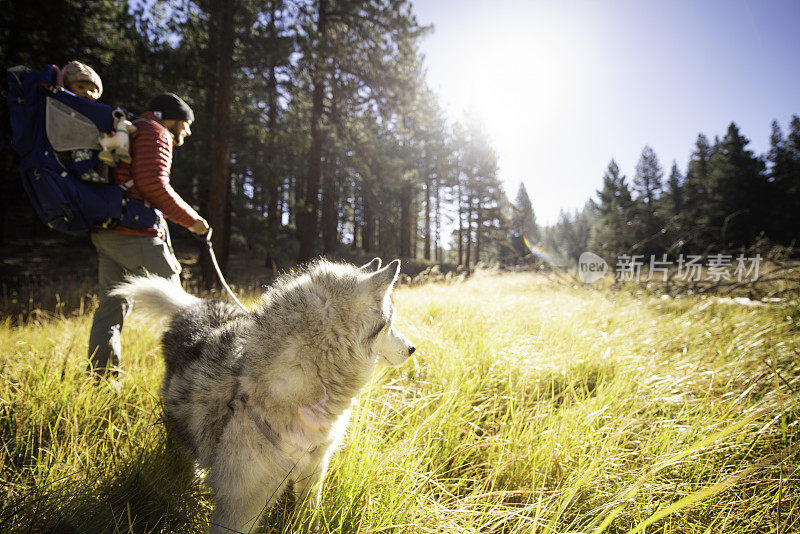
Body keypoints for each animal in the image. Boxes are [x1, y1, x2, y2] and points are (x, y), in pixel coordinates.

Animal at [112, 258, 416, 532]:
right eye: (390, 322)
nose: (413, 348)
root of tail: (196, 305)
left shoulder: (314, 470)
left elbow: (309, 519)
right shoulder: (241, 503)